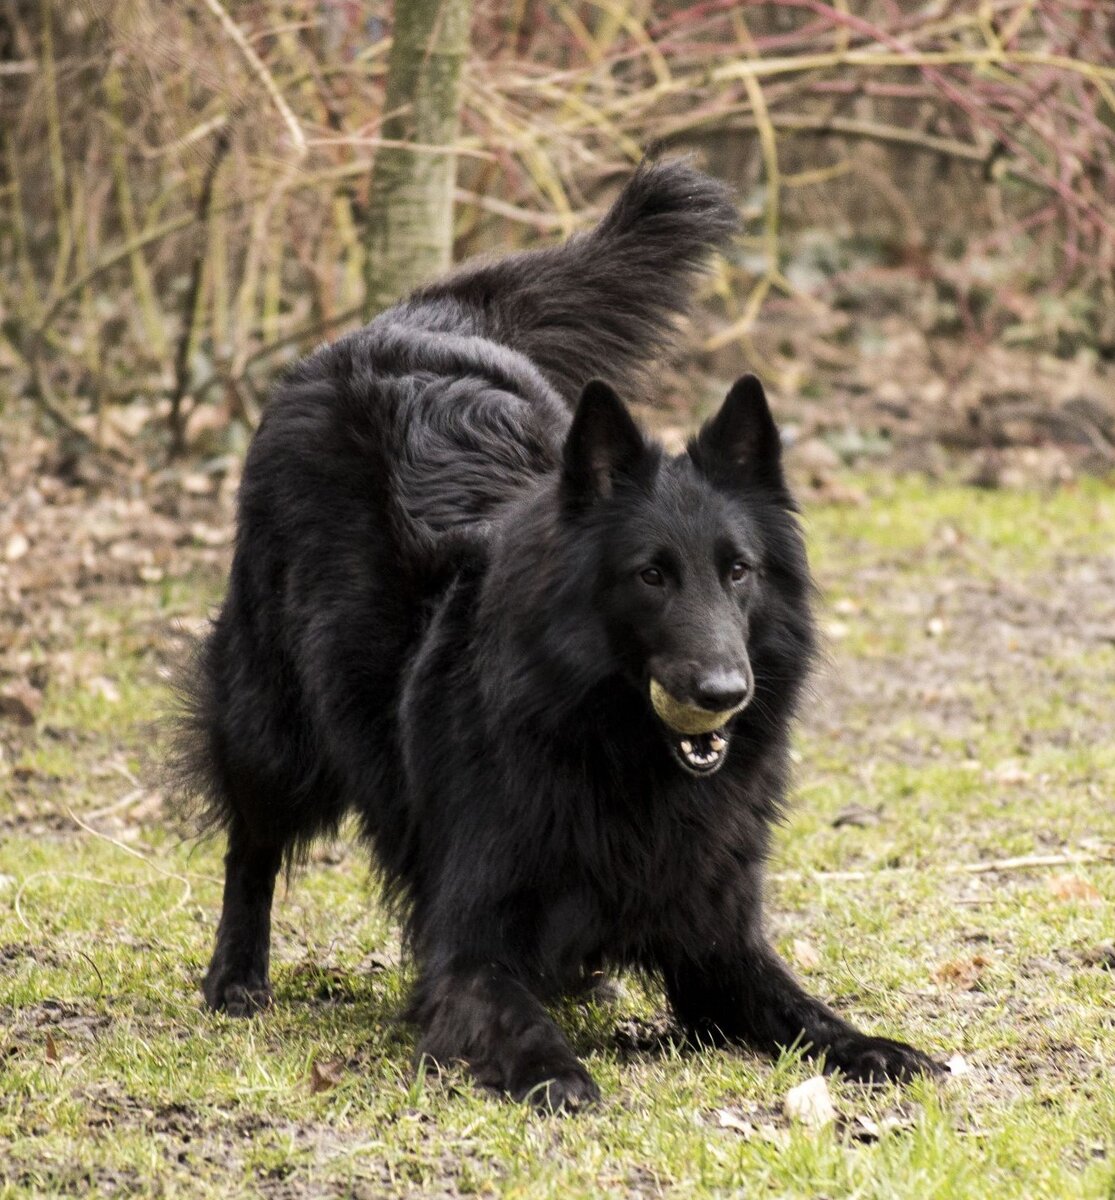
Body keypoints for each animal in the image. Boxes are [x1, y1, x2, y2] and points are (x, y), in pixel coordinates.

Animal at [174, 157, 940, 1104]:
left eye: (738, 571)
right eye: (651, 575)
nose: (722, 692)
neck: (615, 748)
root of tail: (407, 321)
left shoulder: (715, 939)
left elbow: (803, 1009)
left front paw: (873, 1046)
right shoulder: (468, 939)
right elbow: (506, 1008)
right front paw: (552, 1068)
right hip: (271, 726)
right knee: (251, 842)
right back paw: (236, 977)